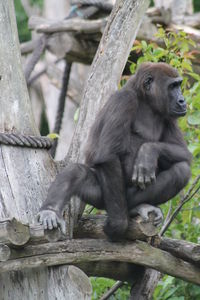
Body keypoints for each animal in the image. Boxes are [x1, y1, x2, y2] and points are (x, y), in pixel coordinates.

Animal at [38, 62, 192, 240]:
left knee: (181, 170)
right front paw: (119, 224)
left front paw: (148, 151)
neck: (145, 100)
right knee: (76, 172)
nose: (182, 100)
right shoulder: (124, 100)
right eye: (172, 86)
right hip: (102, 199)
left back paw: (136, 206)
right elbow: (107, 156)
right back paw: (50, 211)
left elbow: (184, 153)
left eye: (179, 85)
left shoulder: (169, 115)